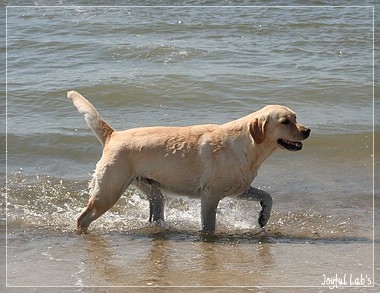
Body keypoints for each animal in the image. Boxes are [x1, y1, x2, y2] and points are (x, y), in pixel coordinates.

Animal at [68, 90, 310, 233]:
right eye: (285, 121)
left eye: (296, 118)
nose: (307, 130)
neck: (249, 146)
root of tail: (113, 135)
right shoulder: (210, 196)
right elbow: (209, 226)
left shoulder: (239, 189)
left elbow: (267, 196)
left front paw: (263, 216)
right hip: (108, 192)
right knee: (83, 218)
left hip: (153, 193)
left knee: (155, 213)